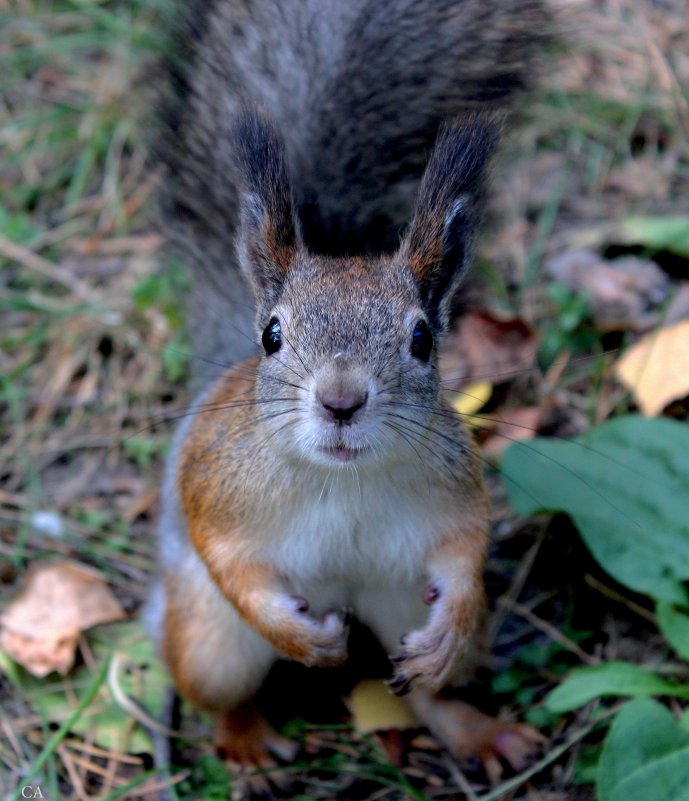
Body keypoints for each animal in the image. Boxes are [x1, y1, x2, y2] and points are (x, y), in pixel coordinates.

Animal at [149, 0, 548, 780]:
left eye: (422, 338)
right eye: (272, 335)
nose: (340, 401)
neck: (343, 480)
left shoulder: (454, 487)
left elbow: (466, 546)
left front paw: (453, 622)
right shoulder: (217, 487)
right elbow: (227, 560)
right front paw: (303, 639)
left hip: (401, 600)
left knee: (427, 691)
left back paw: (477, 728)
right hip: (211, 640)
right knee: (217, 690)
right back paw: (248, 746)